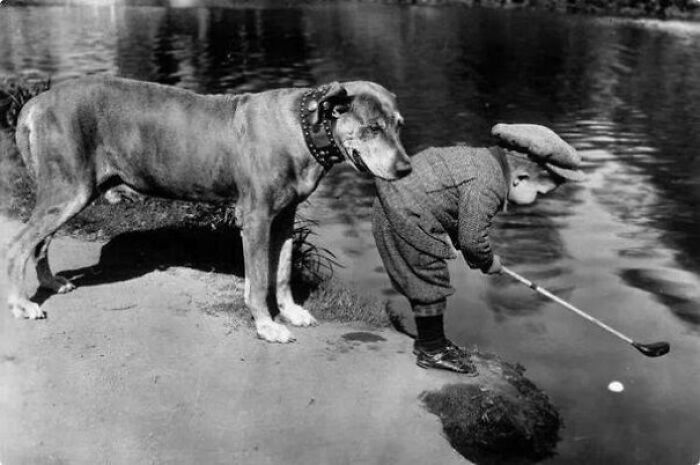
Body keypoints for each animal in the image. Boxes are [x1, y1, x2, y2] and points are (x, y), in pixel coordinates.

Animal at [5, 76, 410, 340]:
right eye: (372, 128)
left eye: (398, 126)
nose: (406, 168)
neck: (303, 126)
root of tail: (38, 101)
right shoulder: (256, 218)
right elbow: (260, 278)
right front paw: (267, 325)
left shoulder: (284, 217)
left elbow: (281, 271)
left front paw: (291, 312)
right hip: (68, 190)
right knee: (18, 245)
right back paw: (22, 304)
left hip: (72, 192)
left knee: (40, 243)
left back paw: (50, 282)